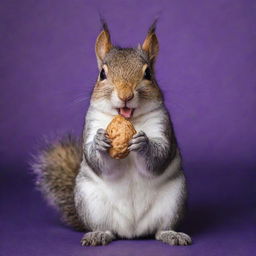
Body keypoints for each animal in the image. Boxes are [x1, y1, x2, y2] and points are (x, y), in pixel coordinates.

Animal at [31, 21, 192, 246]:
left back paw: (171, 234)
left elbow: (159, 156)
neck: (129, 120)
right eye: (102, 74)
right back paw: (99, 234)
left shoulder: (162, 125)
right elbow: (99, 162)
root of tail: (132, 231)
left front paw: (143, 144)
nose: (126, 95)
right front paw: (100, 143)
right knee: (106, 228)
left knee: (160, 228)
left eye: (148, 74)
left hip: (174, 200)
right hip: (90, 202)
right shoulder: (91, 123)